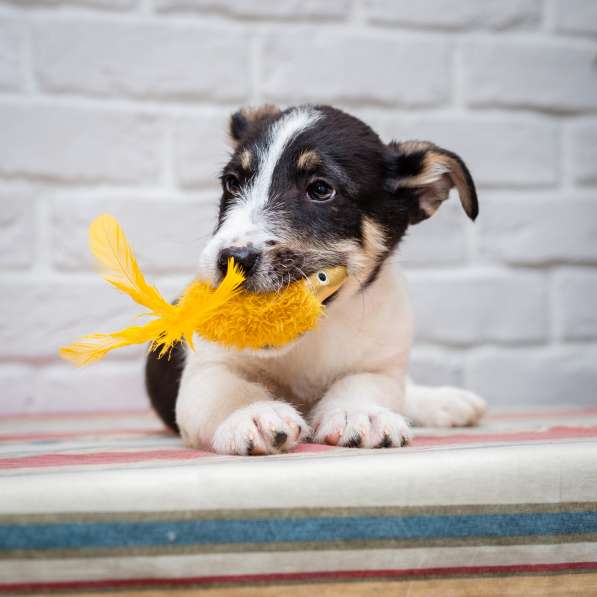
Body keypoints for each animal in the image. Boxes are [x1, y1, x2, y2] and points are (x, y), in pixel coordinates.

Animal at [144, 105, 484, 454]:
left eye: (321, 189)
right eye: (232, 182)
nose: (231, 260)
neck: (315, 336)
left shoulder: (380, 366)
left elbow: (362, 384)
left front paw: (358, 413)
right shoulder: (207, 369)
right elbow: (228, 392)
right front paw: (253, 412)